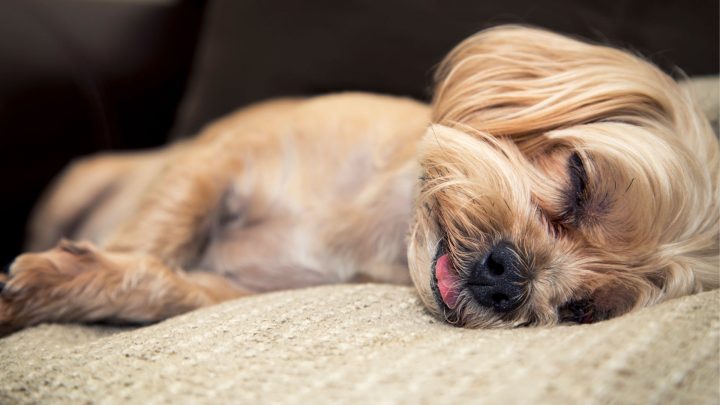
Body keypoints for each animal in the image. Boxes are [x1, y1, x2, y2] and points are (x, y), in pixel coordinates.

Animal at [1, 26, 720, 334]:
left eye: (583, 309)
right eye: (578, 178)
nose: (509, 279)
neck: (378, 226)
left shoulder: (229, 289)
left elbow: (155, 282)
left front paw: (59, 282)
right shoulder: (223, 160)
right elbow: (157, 233)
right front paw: (58, 274)